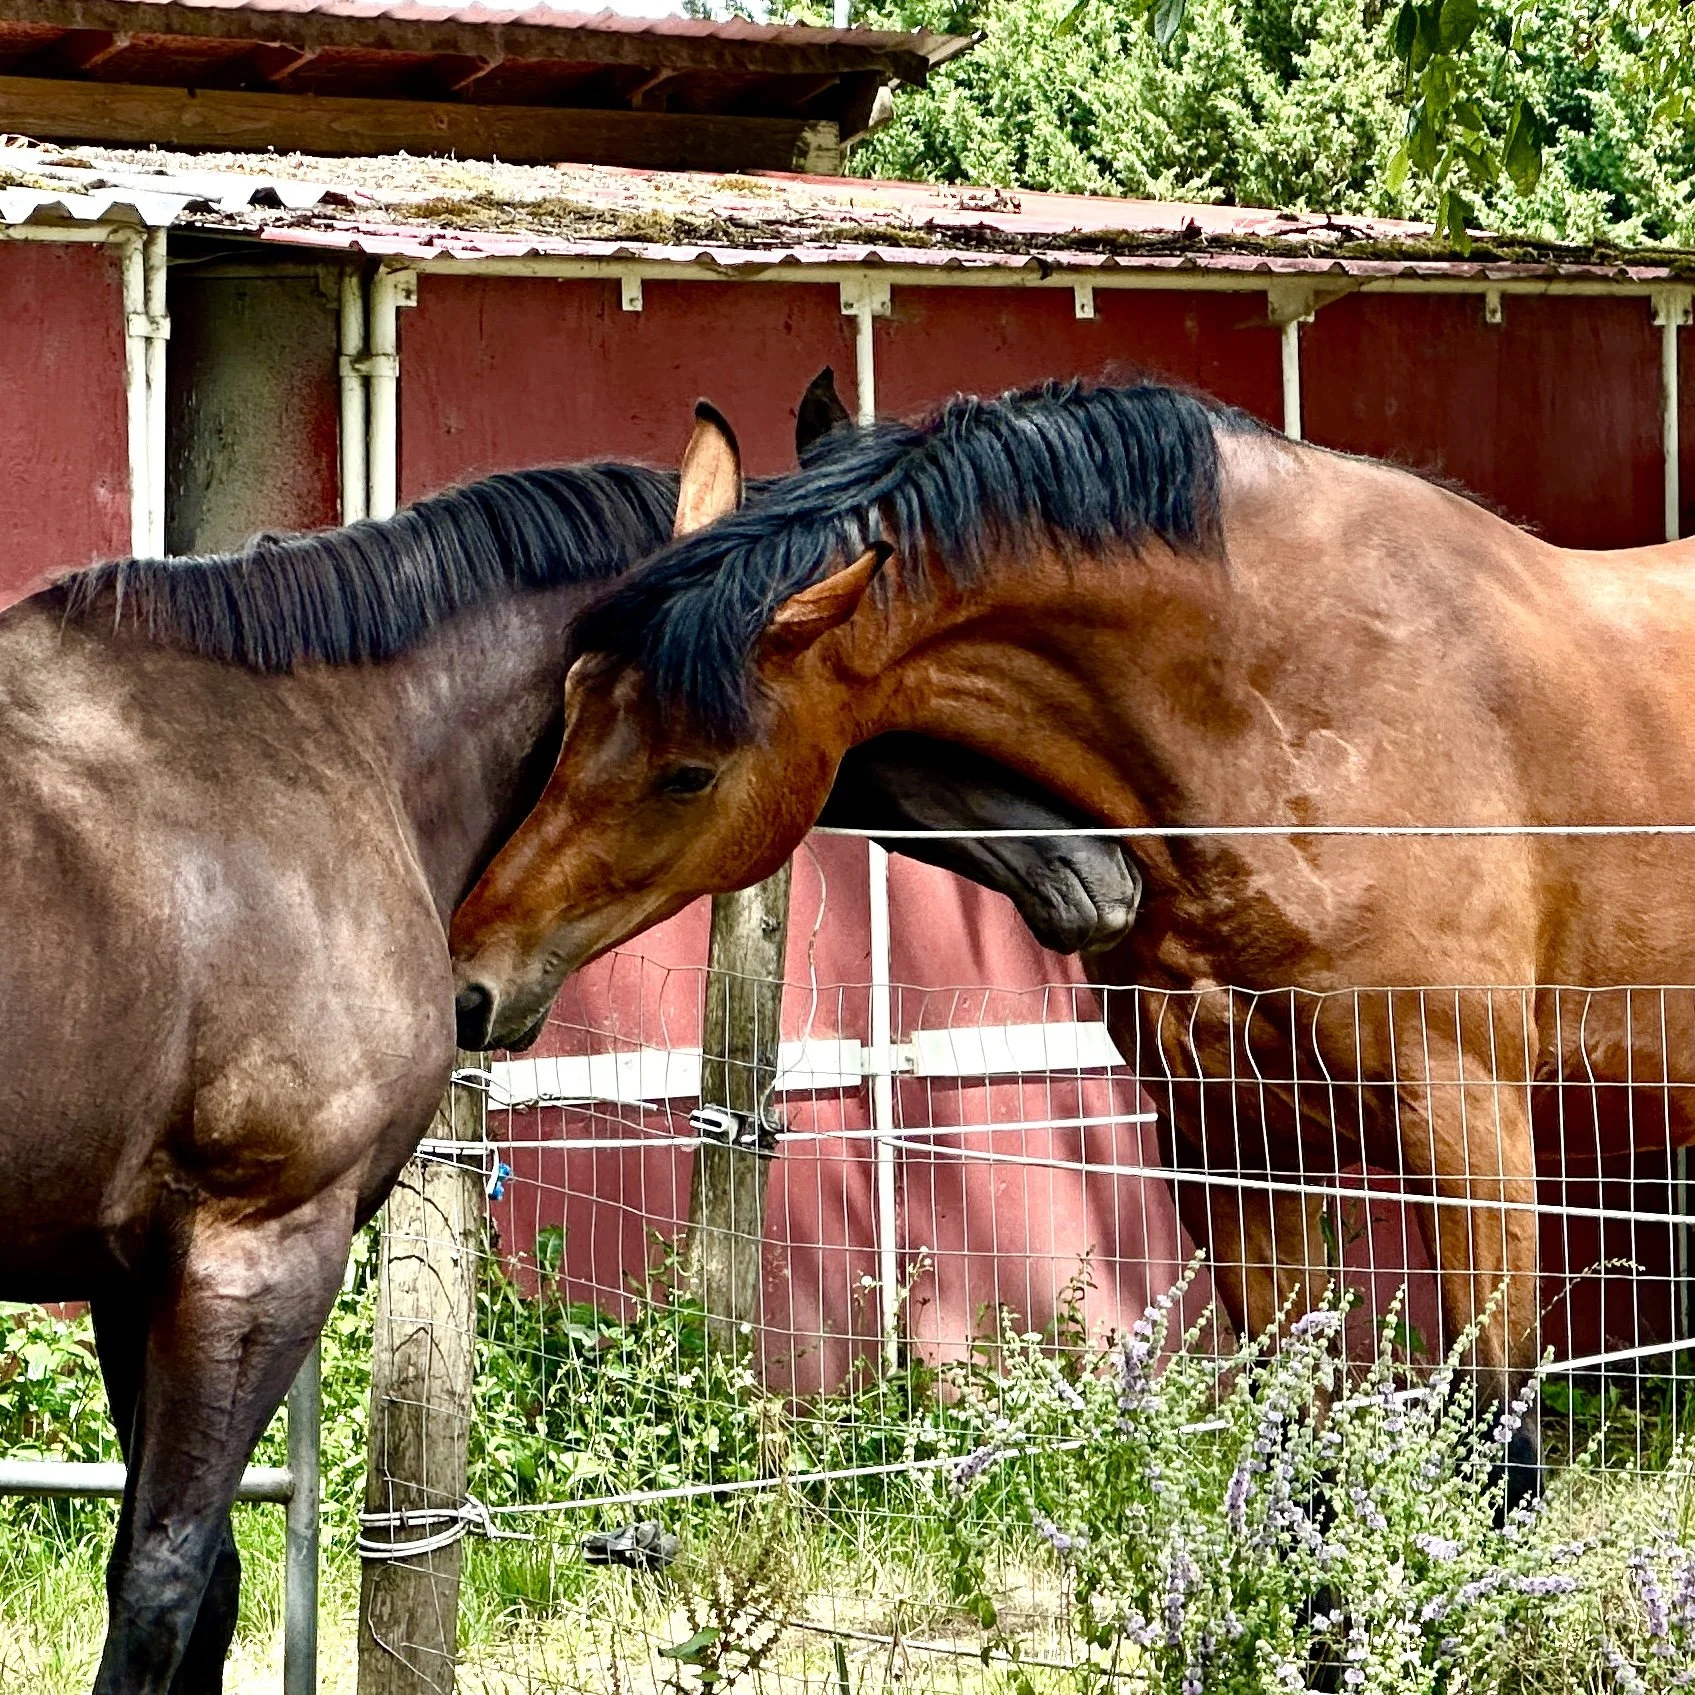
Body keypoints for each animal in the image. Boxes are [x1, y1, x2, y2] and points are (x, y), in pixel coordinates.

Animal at [0, 416, 1136, 1691]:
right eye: (882, 650)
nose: (1098, 858)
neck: (323, 759)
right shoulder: (252, 1259)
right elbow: (165, 1587)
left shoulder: (137, 1272)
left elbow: (200, 1589)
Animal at [449, 378, 1695, 1507]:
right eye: (567, 711)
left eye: (690, 772)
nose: (474, 975)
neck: (1312, 707)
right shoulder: (1232, 1144)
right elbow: (1297, 1462)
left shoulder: (1471, 1133)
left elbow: (1500, 1465)